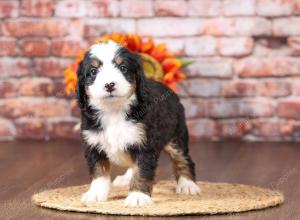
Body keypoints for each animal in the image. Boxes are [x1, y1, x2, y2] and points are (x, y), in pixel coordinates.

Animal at [76, 40, 200, 207]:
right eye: (93, 71)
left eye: (123, 68)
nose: (109, 85)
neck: (113, 110)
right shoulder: (93, 144)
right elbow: (99, 172)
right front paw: (95, 194)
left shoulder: (145, 145)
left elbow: (142, 170)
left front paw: (137, 196)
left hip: (176, 135)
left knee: (183, 158)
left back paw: (187, 184)